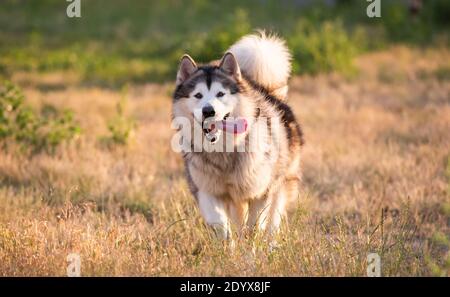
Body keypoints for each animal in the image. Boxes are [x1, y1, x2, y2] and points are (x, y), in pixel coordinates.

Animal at [171, 31, 302, 240]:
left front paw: (250, 248)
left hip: (280, 183)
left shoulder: (261, 192)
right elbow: (220, 225)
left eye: (220, 93)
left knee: (272, 222)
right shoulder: (207, 189)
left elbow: (255, 227)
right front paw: (228, 247)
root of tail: (266, 90)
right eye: (198, 95)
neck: (223, 150)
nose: (208, 111)